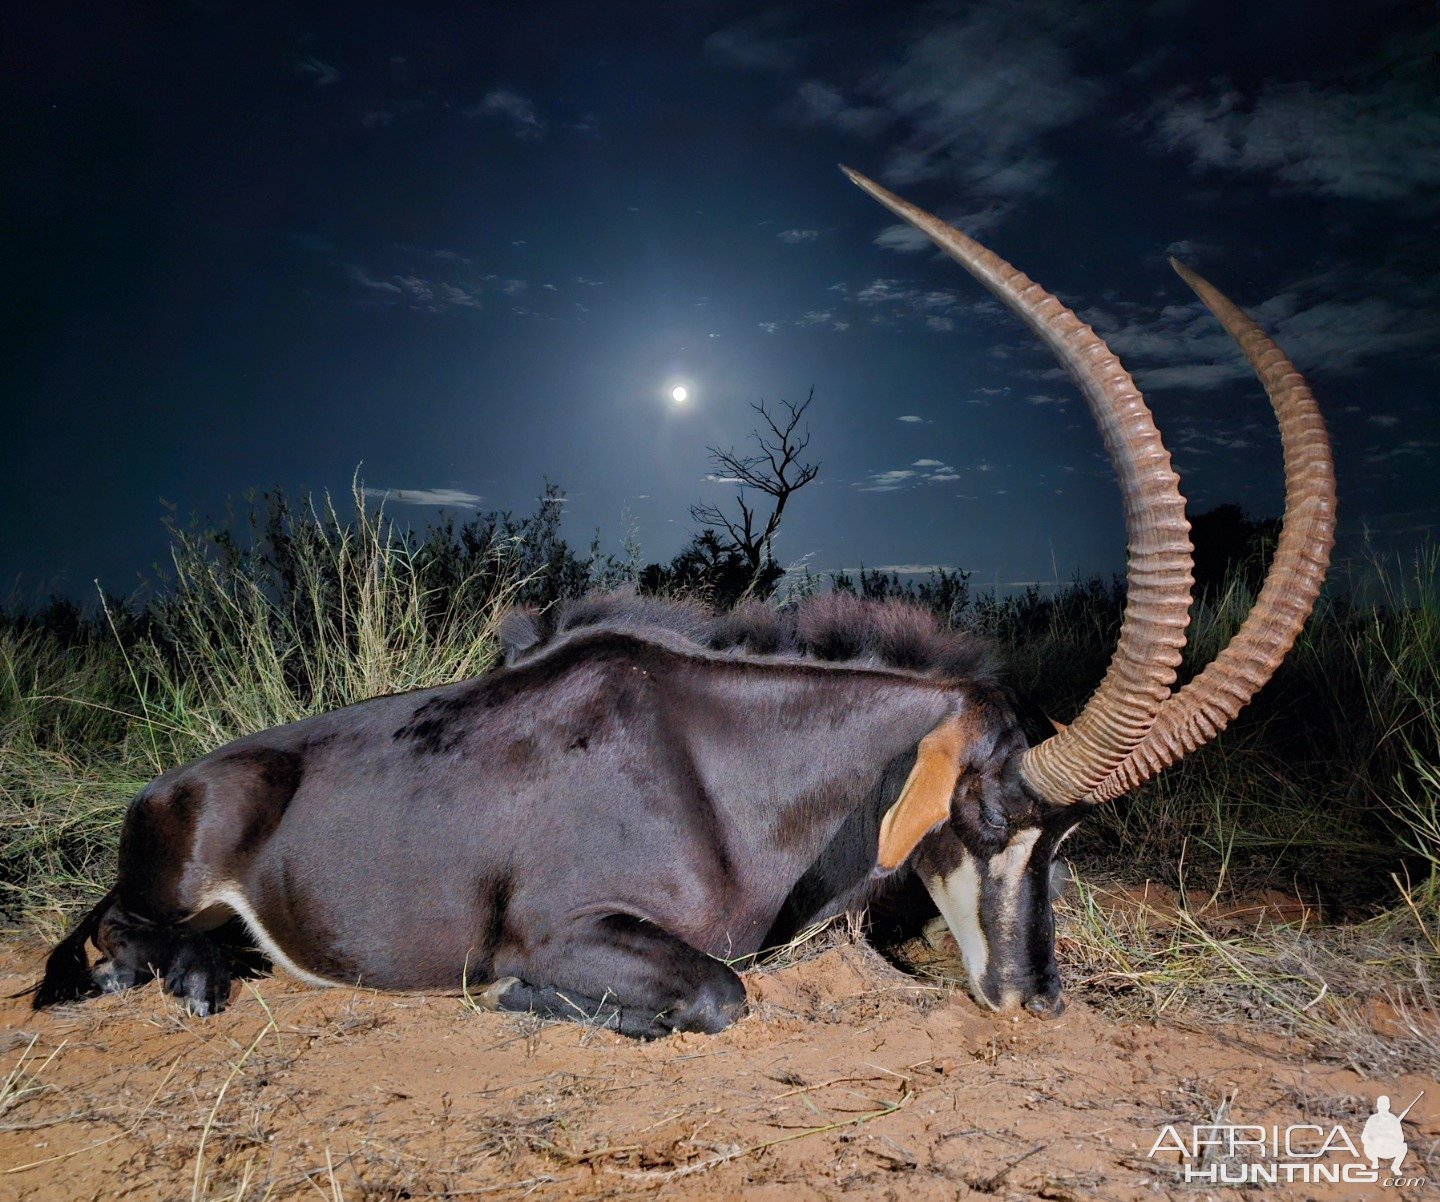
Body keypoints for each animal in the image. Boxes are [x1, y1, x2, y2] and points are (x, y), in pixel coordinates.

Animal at [33, 166, 1330, 1036]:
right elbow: (719, 989)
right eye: (985, 818)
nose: (1031, 997)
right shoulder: (576, 924)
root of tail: (174, 782)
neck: (723, 768)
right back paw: (175, 973)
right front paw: (522, 996)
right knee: (118, 929)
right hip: (174, 866)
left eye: (1066, 841)